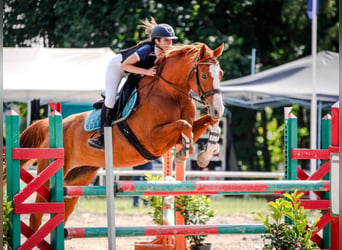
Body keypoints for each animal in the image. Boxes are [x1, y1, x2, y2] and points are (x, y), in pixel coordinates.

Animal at [16, 42, 226, 231]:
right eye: (204, 75)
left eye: (221, 74)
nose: (218, 109)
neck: (171, 94)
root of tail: (49, 124)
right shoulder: (152, 139)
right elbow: (184, 125)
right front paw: (185, 151)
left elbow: (205, 122)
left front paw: (205, 154)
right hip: (50, 174)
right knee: (36, 216)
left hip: (78, 177)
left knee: (65, 210)